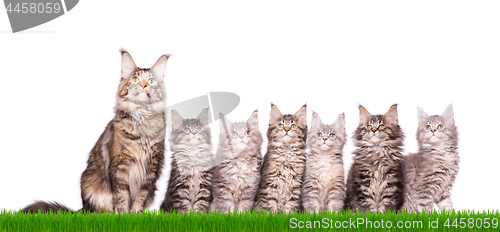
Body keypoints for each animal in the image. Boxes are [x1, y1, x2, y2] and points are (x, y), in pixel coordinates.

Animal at [21, 50, 169, 212]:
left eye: (151, 81)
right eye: (135, 79)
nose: (143, 85)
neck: (142, 121)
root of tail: (83, 208)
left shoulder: (150, 171)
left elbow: (139, 200)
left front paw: (136, 216)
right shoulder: (120, 168)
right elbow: (122, 199)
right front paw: (123, 216)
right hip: (90, 183)